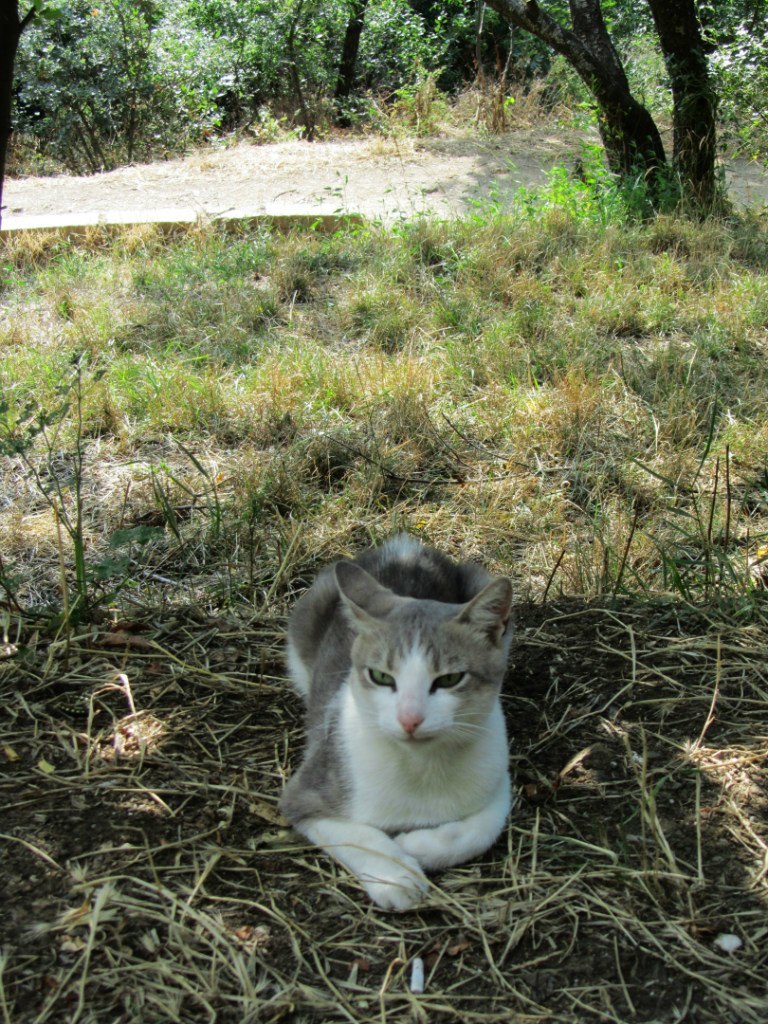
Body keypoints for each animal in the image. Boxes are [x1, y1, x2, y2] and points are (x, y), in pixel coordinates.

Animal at [280, 536, 514, 913]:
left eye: (450, 679)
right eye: (380, 676)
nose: (410, 718)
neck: (420, 766)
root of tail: (403, 546)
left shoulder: (497, 773)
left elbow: (484, 827)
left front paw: (418, 844)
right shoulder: (306, 791)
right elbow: (356, 834)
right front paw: (397, 875)